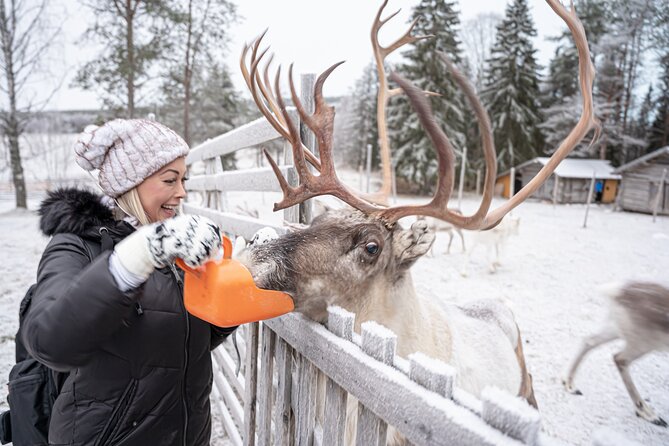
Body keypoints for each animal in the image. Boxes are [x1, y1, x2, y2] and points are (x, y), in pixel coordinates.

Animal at [563, 281, 669, 427]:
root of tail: (617, 293)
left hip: (618, 328)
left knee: (590, 340)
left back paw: (570, 385)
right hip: (644, 341)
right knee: (620, 358)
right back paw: (650, 415)